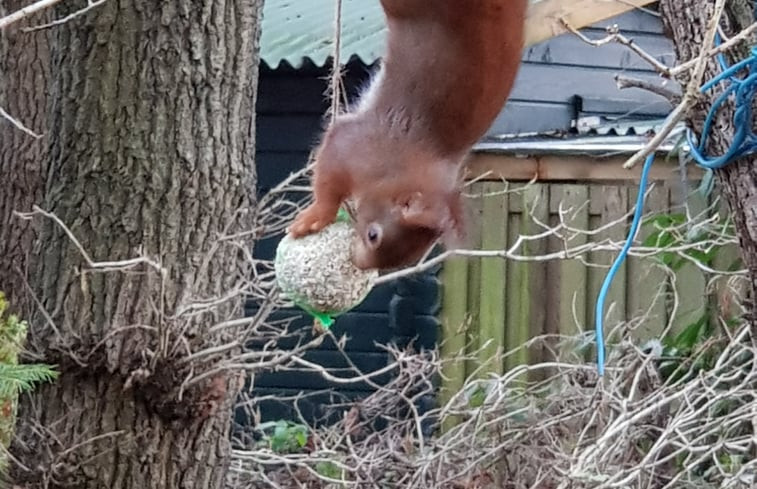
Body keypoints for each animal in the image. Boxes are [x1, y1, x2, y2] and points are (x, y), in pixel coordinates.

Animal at [290, 0, 524, 268]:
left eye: (410, 258)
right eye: (373, 235)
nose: (360, 264)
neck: (395, 171)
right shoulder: (353, 146)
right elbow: (328, 180)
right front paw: (318, 215)